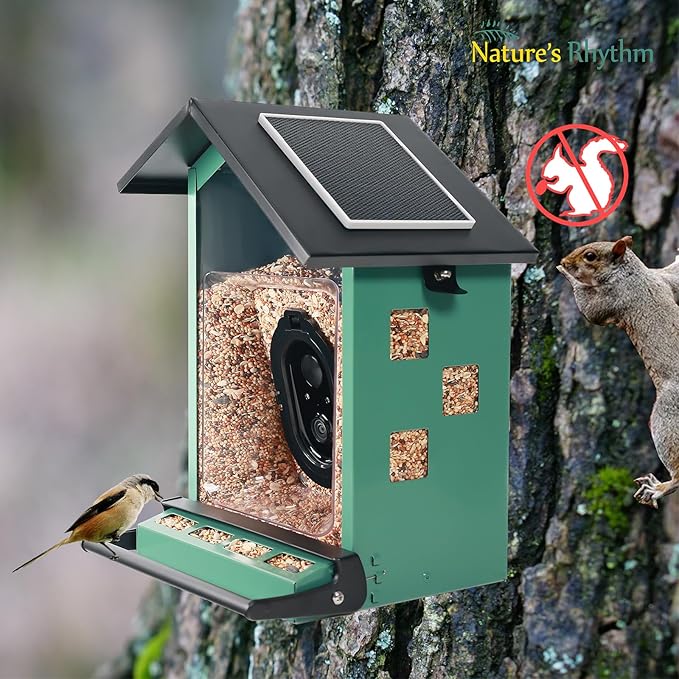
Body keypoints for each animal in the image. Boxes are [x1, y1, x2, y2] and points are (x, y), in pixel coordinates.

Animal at [558, 235, 679, 508]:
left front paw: (566, 275)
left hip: (664, 418)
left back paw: (658, 488)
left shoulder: (613, 299)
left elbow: (590, 310)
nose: (564, 260)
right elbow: (675, 274)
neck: (634, 274)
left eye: (590, 256)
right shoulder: (664, 279)